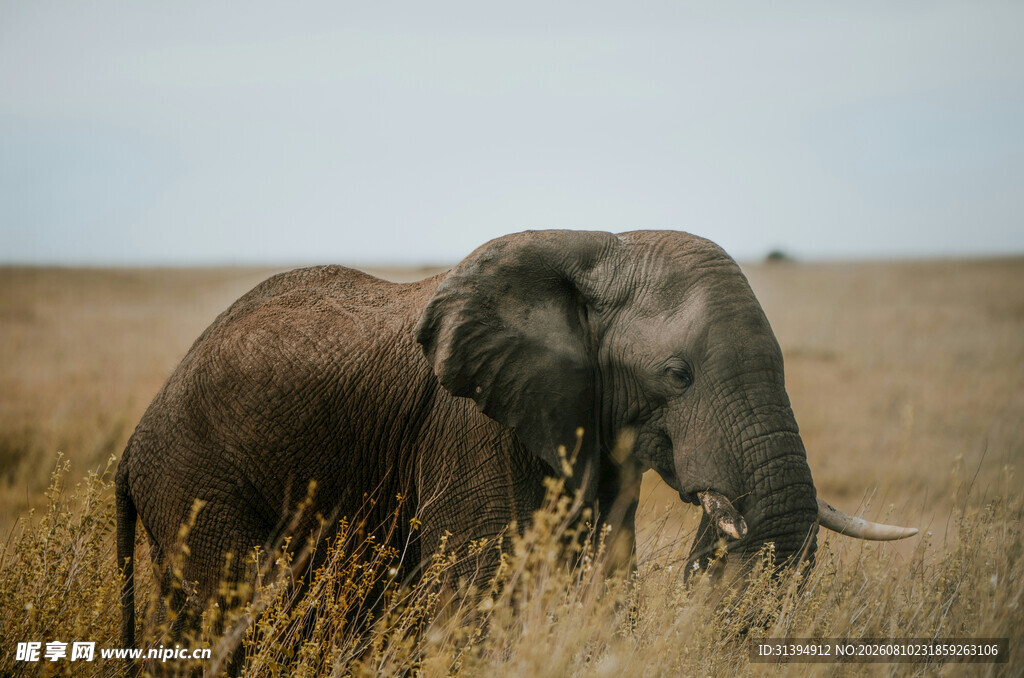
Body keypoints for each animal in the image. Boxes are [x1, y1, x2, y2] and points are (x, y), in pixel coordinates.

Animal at [115, 229, 916, 649]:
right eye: (678, 375)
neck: (599, 250)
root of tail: (132, 447)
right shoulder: (469, 427)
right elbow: (481, 593)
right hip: (199, 486)